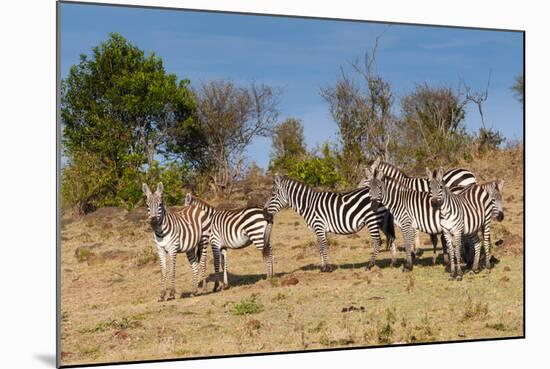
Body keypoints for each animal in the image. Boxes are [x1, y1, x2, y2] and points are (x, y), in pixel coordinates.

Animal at [264, 174, 396, 272]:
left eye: (273, 195)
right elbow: (320, 247)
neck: (309, 204)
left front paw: (327, 268)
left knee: (377, 241)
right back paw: (392, 263)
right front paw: (323, 267)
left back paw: (370, 265)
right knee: (391, 238)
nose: (265, 213)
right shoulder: (320, 229)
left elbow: (323, 246)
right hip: (382, 221)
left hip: (372, 220)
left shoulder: (319, 226)